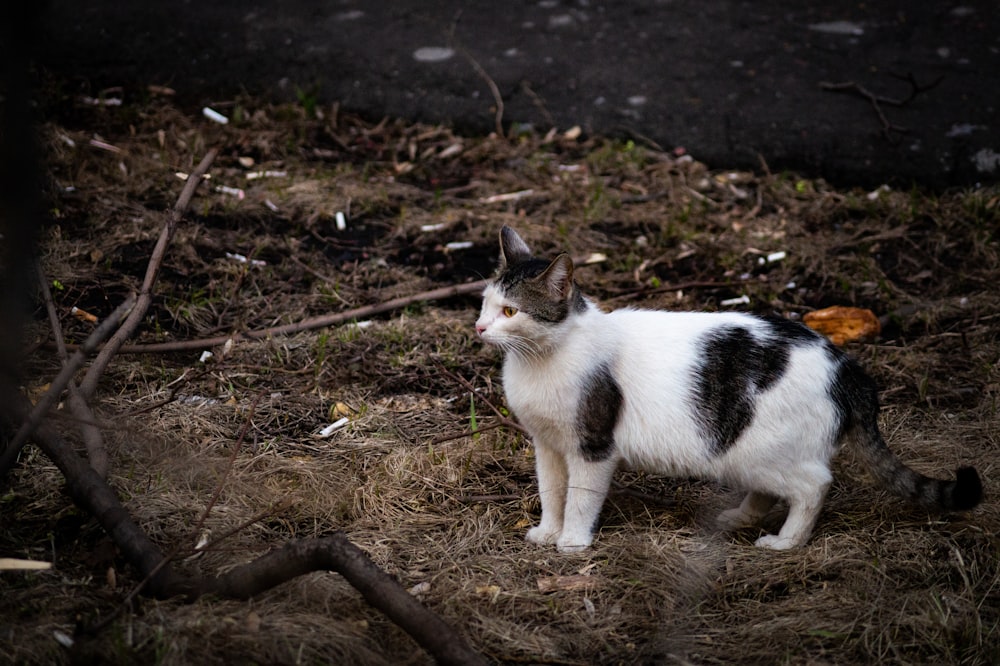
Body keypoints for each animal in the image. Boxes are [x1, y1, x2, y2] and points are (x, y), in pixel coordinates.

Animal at [476, 226, 984, 548]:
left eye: (510, 312)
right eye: (484, 303)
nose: (479, 327)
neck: (541, 359)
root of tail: (846, 367)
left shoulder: (592, 445)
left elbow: (581, 498)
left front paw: (572, 542)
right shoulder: (547, 445)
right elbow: (551, 493)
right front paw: (547, 533)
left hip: (762, 449)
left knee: (814, 485)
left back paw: (785, 542)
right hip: (744, 453)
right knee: (772, 488)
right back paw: (741, 517)